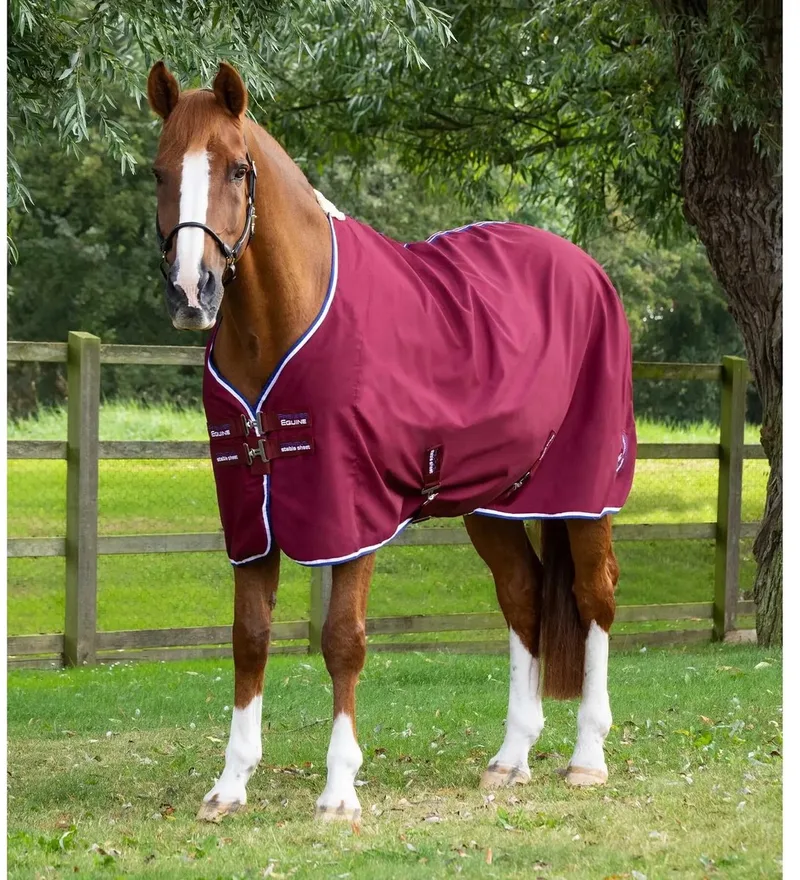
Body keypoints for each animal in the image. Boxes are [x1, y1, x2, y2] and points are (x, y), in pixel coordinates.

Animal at [146, 60, 636, 823]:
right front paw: (230, 786)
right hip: (489, 503)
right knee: (523, 596)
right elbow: (249, 638)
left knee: (594, 597)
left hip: (584, 497)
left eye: (236, 169)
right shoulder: (250, 514)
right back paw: (511, 758)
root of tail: (586, 270)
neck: (285, 319)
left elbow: (342, 641)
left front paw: (339, 791)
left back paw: (587, 758)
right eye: (160, 171)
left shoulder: (350, 512)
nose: (191, 292)